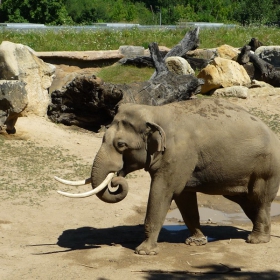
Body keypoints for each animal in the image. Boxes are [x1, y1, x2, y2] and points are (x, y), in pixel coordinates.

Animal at [55, 98, 280, 256]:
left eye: (121, 145)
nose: (117, 180)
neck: (155, 112)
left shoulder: (177, 156)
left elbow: (162, 191)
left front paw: (144, 252)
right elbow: (184, 197)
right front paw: (196, 242)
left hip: (265, 169)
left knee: (259, 199)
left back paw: (256, 240)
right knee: (246, 201)